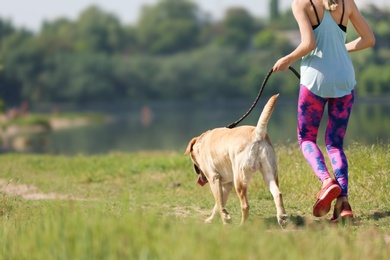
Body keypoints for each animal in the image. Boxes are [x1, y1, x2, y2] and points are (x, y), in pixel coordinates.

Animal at [184, 94, 288, 226]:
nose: (200, 178)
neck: (201, 142)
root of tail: (257, 134)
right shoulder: (226, 184)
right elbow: (219, 204)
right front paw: (213, 219)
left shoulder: (214, 178)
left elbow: (219, 203)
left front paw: (225, 220)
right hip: (269, 173)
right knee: (277, 194)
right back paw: (282, 218)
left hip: (240, 178)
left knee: (245, 205)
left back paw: (242, 226)